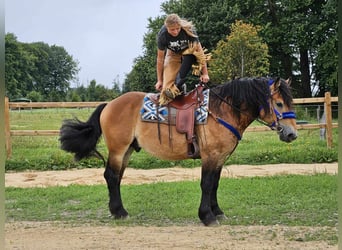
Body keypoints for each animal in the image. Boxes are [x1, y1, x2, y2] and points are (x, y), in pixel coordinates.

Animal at [58, 77, 296, 226]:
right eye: (279, 103)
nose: (292, 134)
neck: (222, 111)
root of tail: (109, 104)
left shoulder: (219, 157)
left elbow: (215, 184)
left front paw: (217, 212)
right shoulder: (210, 156)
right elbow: (206, 184)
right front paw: (207, 216)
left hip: (126, 151)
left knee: (116, 178)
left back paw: (117, 211)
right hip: (118, 149)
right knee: (111, 176)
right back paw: (120, 212)